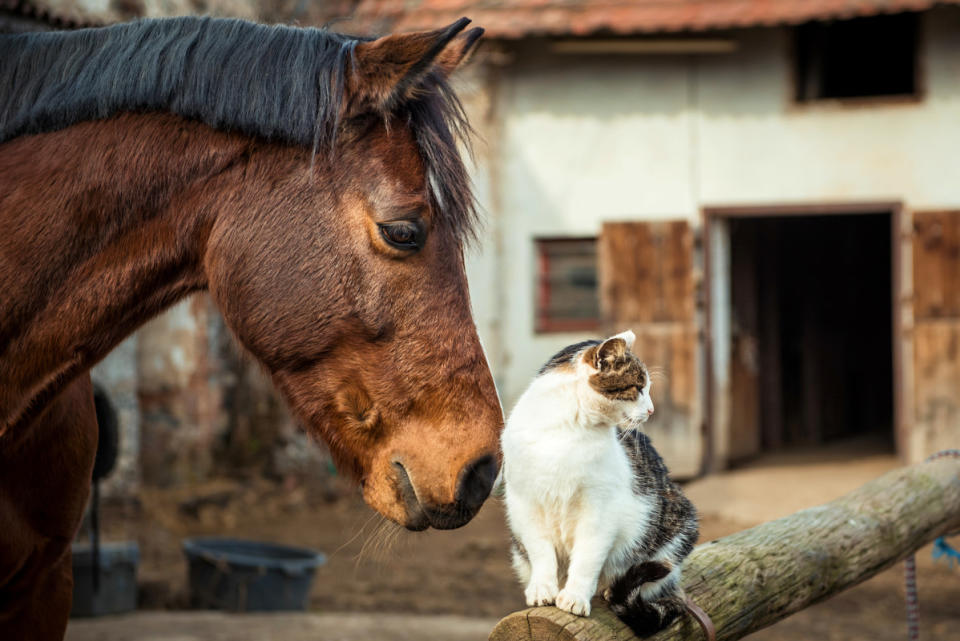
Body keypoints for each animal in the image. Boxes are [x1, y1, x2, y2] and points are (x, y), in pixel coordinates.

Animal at [502, 330, 696, 636]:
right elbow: (542, 553)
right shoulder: (526, 505)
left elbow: (587, 558)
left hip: (677, 529)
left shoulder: (600, 510)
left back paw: (608, 589)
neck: (568, 430)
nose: (651, 410)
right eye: (638, 387)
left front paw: (575, 597)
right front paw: (542, 589)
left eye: (647, 387)